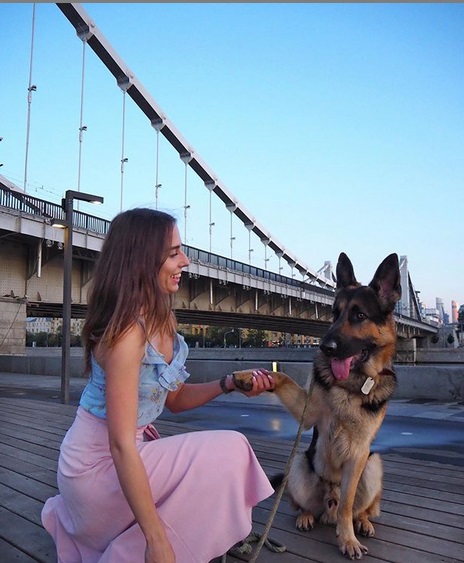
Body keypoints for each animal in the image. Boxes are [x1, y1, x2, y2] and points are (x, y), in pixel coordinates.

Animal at [234, 254, 400, 560]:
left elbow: (348, 504)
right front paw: (248, 376)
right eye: (334, 314)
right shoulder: (308, 412)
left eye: (359, 315)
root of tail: (328, 505)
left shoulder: (359, 454)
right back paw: (306, 516)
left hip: (373, 465)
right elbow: (279, 375)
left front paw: (347, 539)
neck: (351, 384)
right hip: (300, 462)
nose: (325, 347)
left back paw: (362, 521)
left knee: (358, 508)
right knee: (301, 503)